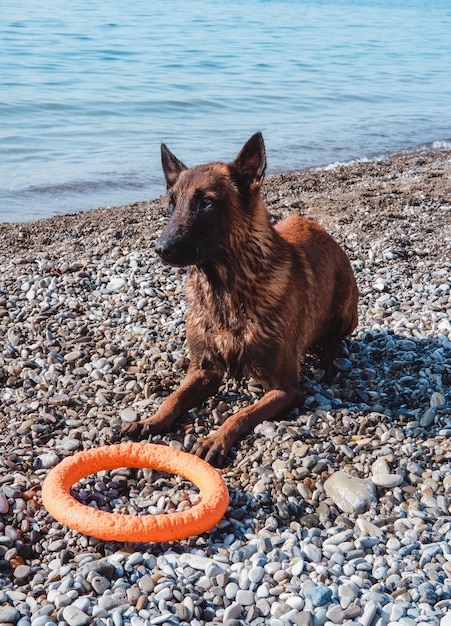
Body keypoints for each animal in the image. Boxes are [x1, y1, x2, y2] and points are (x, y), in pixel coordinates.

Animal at [122, 132, 356, 464]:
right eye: (172, 202)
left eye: (206, 202)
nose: (161, 249)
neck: (224, 291)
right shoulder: (204, 370)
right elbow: (174, 398)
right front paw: (150, 420)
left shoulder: (285, 388)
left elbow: (241, 415)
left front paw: (216, 439)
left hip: (347, 311)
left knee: (335, 340)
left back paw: (329, 360)